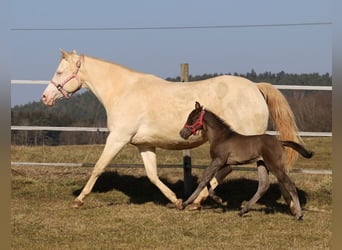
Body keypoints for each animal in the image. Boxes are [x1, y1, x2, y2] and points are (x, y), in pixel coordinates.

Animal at [41, 49, 300, 209]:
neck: (123, 91)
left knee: (235, 170)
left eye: (60, 72)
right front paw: (175, 200)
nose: (45, 97)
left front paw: (79, 200)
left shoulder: (118, 138)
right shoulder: (144, 145)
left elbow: (98, 167)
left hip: (245, 141)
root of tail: (255, 87)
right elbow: (152, 175)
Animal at [179, 101, 312, 219]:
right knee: (264, 185)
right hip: (262, 164)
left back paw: (299, 215)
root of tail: (280, 142)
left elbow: (205, 178)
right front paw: (218, 199)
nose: (182, 133)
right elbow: (207, 177)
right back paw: (243, 210)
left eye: (192, 119)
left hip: (275, 166)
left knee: (290, 184)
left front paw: (185, 203)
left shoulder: (218, 160)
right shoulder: (223, 163)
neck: (221, 137)